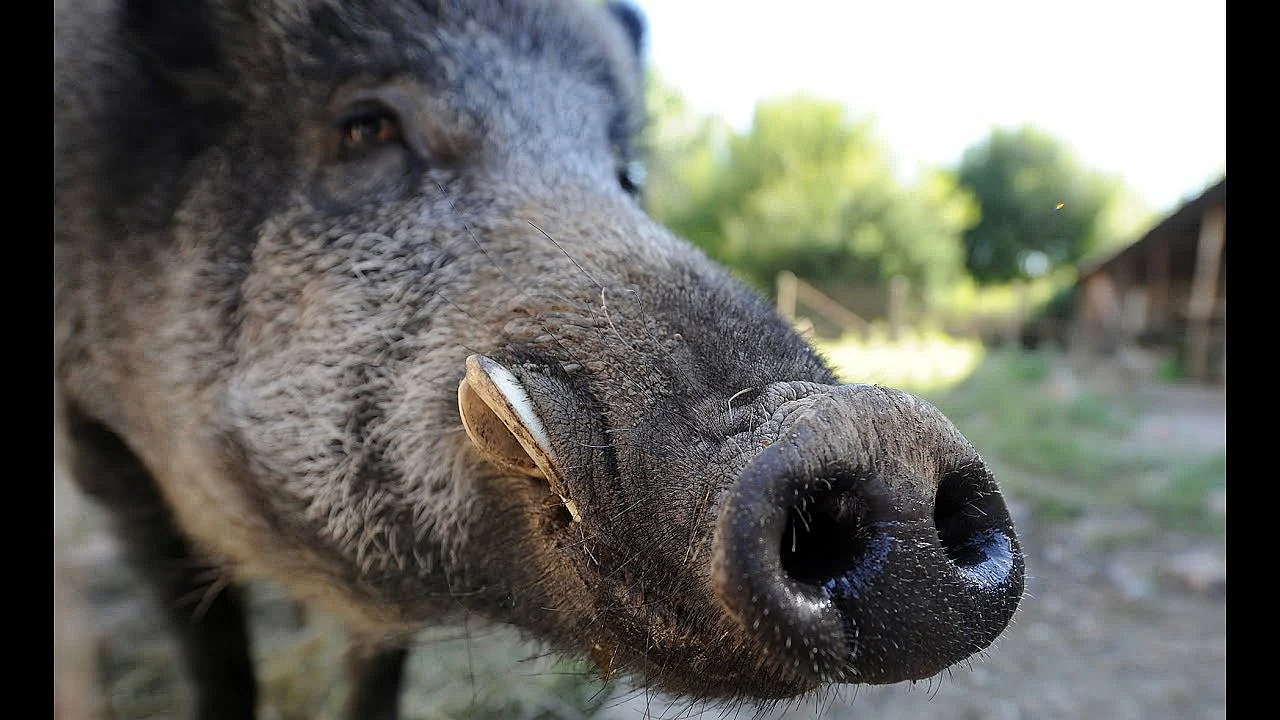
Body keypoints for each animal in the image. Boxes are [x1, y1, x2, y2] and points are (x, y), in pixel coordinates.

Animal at [52, 0, 1025, 718]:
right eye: (364, 128)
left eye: (625, 176)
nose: (887, 434)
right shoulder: (101, 441)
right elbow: (216, 654)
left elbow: (377, 663)